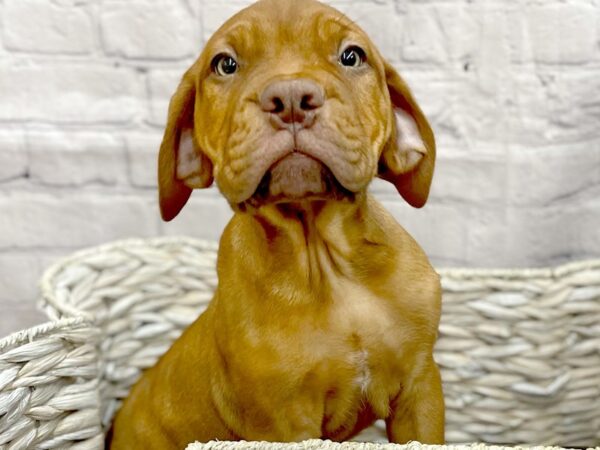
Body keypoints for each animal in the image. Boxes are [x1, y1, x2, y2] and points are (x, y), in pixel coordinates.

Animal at [110, 0, 442, 446]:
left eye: (351, 56)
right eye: (225, 64)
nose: (291, 97)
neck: (325, 266)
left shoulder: (420, 389)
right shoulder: (283, 422)